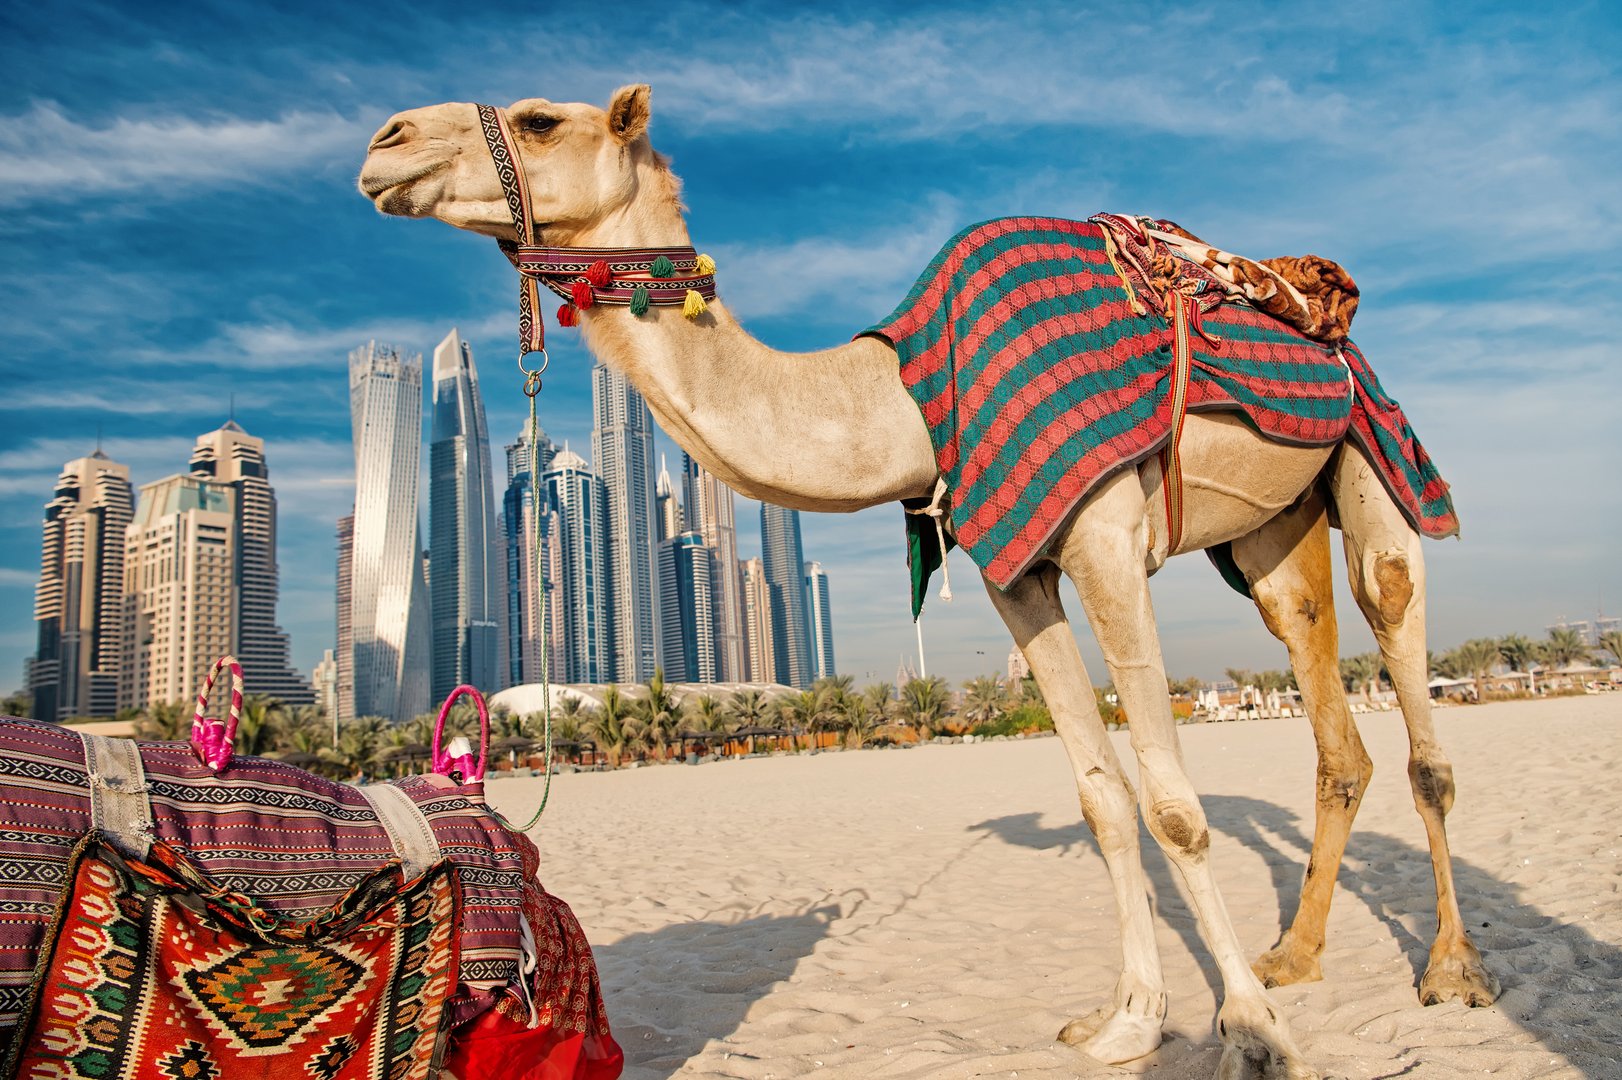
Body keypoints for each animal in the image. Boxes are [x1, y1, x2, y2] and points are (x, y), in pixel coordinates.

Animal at [358, 86, 1497, 1078]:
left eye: (542, 119)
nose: (384, 140)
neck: (904, 399)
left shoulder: (1104, 535)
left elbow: (1173, 806)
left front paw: (1254, 1041)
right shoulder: (1019, 570)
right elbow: (1101, 799)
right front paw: (1127, 1022)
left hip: (1372, 448)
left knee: (1399, 639)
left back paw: (1448, 970)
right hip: (1269, 531)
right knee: (1320, 691)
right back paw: (1294, 956)